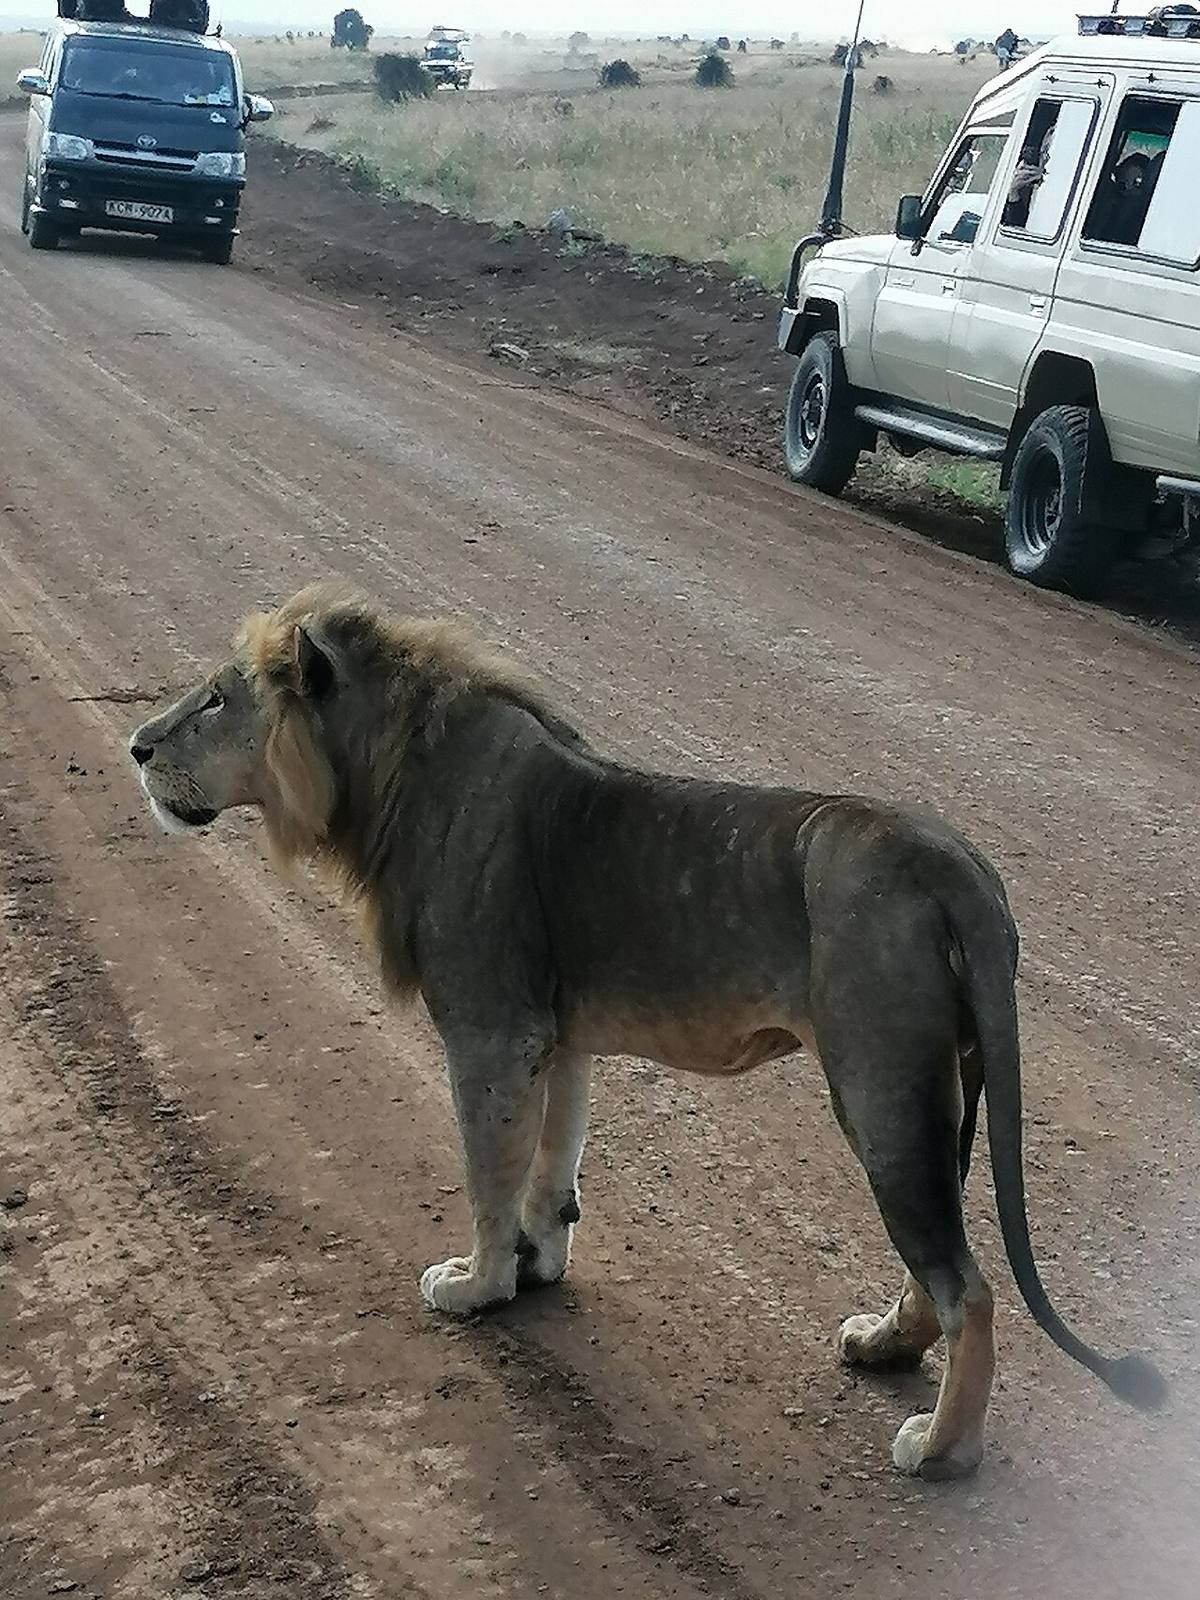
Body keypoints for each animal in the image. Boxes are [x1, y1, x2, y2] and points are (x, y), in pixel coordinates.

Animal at [129, 584, 1165, 1480]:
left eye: (216, 699)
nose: (136, 745)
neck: (388, 771)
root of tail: (964, 867)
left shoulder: (490, 1029)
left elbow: (488, 1173)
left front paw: (476, 1284)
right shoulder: (556, 1034)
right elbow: (551, 1163)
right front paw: (537, 1265)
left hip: (878, 1085)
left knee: (970, 1287)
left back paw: (942, 1451)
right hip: (938, 1085)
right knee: (939, 1257)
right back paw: (882, 1346)